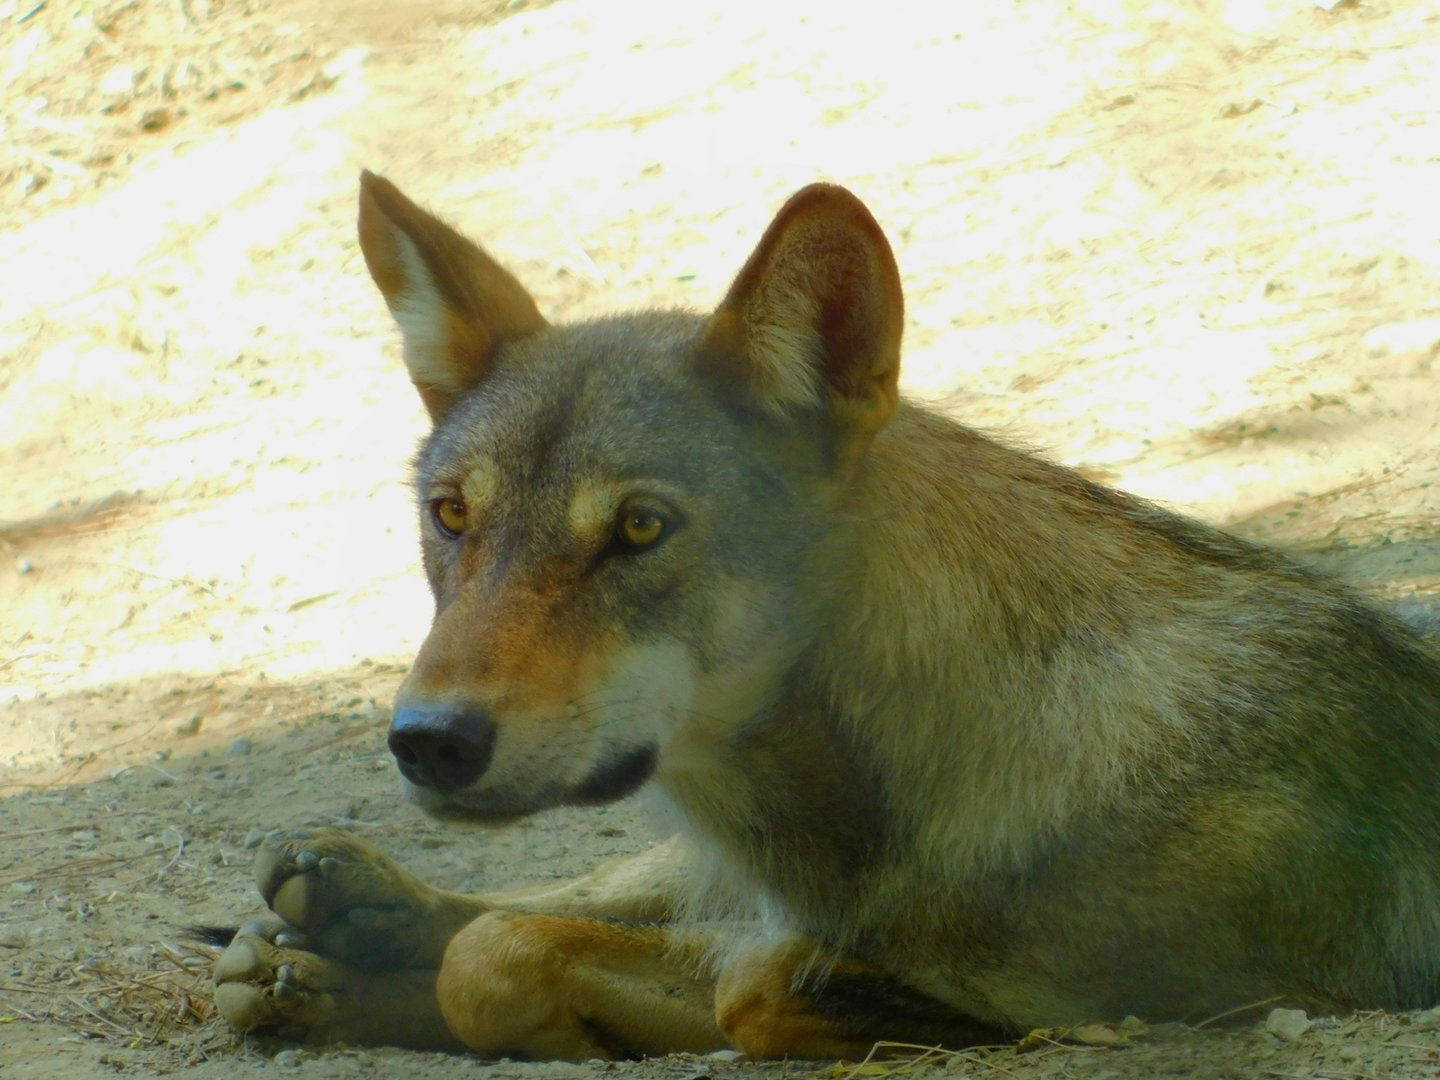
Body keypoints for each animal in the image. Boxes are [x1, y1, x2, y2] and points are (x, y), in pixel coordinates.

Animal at [212, 174, 1440, 1059]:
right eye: (452, 515)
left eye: (641, 528)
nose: (428, 743)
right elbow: (514, 944)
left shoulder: (1214, 995)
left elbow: (691, 981)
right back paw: (330, 918)